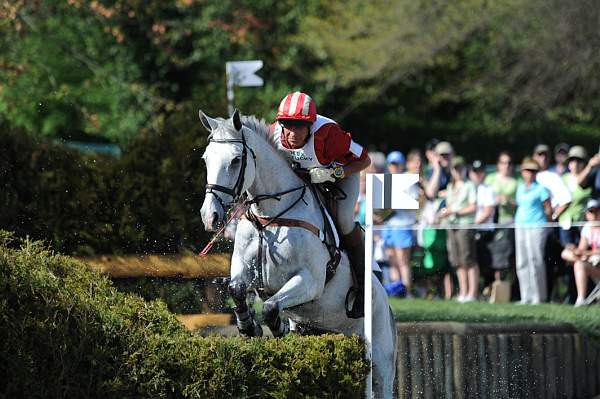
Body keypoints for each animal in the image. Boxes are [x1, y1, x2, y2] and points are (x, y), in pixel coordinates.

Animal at [202, 109, 396, 399]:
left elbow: (270, 306)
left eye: (236, 160)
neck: (271, 217)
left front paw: (277, 328)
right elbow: (236, 289)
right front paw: (248, 326)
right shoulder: (243, 269)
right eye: (205, 158)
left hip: (381, 358)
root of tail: (388, 304)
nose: (210, 216)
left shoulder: (309, 282)